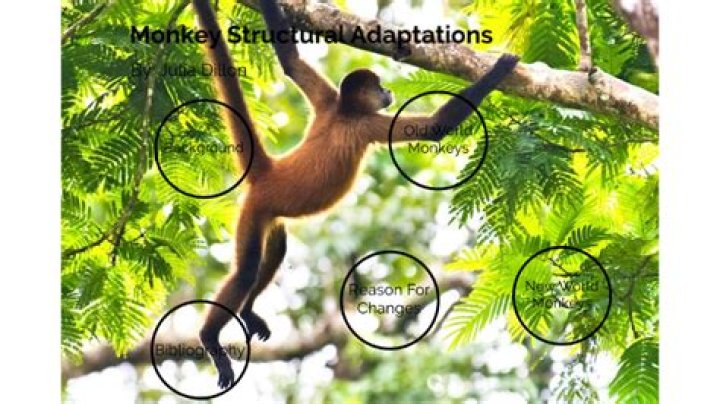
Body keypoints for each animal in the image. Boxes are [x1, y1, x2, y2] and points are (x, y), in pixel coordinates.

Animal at [191, 0, 519, 388]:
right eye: (379, 89)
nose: (389, 91)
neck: (344, 112)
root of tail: (270, 171)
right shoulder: (366, 124)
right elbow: (435, 128)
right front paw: (501, 68)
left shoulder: (328, 101)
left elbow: (290, 60)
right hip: (254, 211)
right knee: (245, 273)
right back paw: (210, 339)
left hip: (268, 217)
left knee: (276, 248)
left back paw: (248, 310)